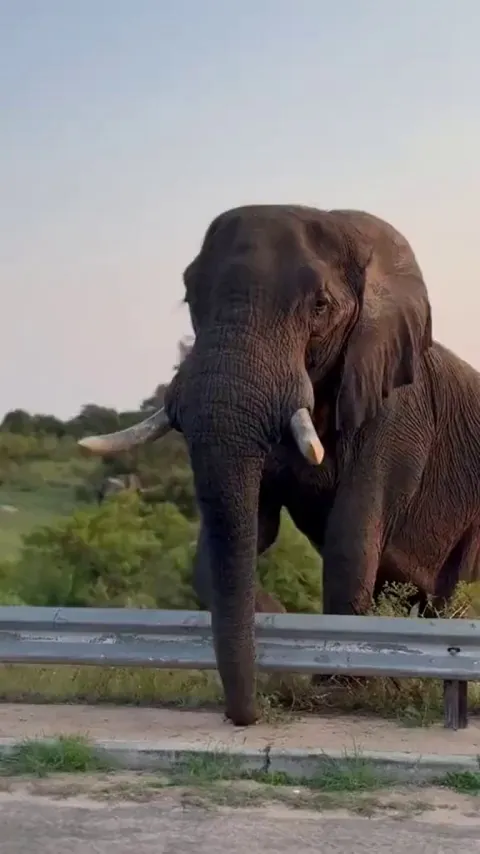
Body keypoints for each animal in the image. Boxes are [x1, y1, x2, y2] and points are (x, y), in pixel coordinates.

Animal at [77, 204, 480, 728]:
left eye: (321, 306)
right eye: (189, 294)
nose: (244, 716)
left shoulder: (395, 412)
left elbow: (350, 538)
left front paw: (337, 689)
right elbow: (241, 536)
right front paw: (286, 649)